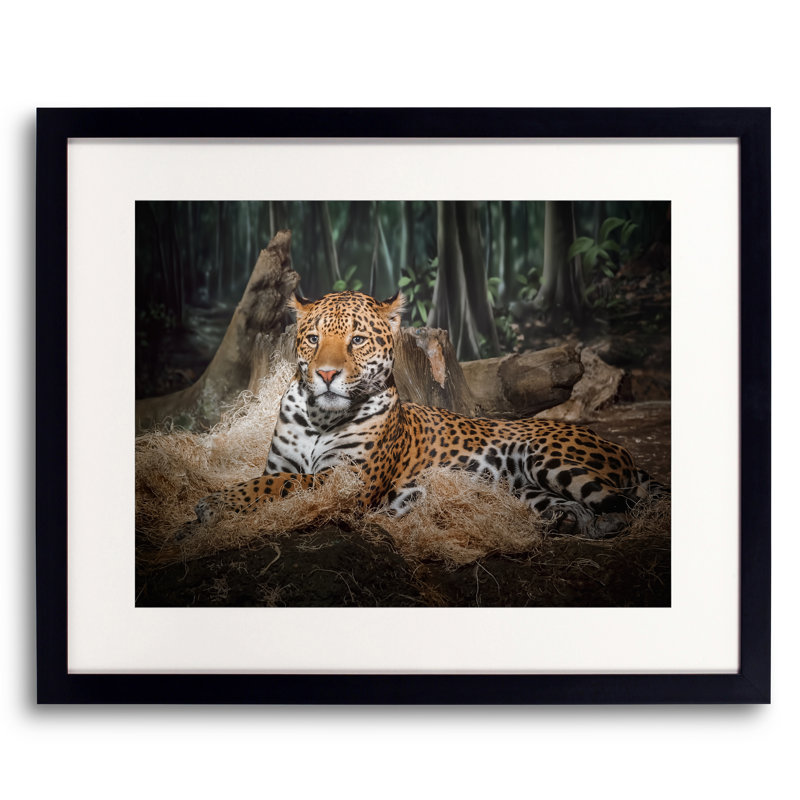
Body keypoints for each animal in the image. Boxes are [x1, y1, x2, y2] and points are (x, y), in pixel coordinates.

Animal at [195, 289, 664, 538]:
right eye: (312, 339)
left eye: (357, 340)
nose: (326, 374)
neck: (320, 419)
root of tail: (619, 449)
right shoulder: (280, 464)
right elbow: (273, 481)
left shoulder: (351, 480)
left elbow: (282, 485)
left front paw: (215, 503)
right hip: (529, 488)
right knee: (583, 507)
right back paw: (567, 522)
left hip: (546, 457)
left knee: (628, 503)